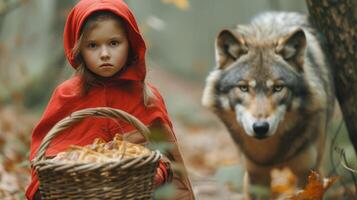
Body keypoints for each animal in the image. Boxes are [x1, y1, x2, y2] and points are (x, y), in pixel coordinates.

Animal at [202, 11, 336, 195]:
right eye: (243, 88)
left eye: (278, 88)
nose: (260, 128)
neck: (271, 156)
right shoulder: (255, 175)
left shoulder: (308, 173)